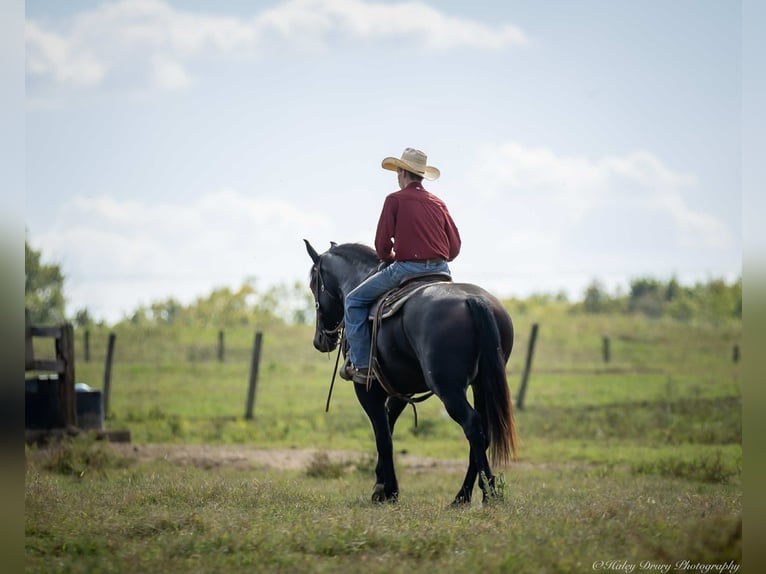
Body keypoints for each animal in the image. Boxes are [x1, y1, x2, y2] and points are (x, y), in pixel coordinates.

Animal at [304, 240, 519, 505]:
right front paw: (382, 486)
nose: (320, 340)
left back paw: (485, 494)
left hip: (449, 388)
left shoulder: (367, 388)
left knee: (472, 425)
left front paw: (388, 491)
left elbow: (383, 436)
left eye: (313, 284)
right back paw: (464, 496)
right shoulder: (399, 389)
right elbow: (388, 426)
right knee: (484, 431)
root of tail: (474, 300)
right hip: (482, 384)